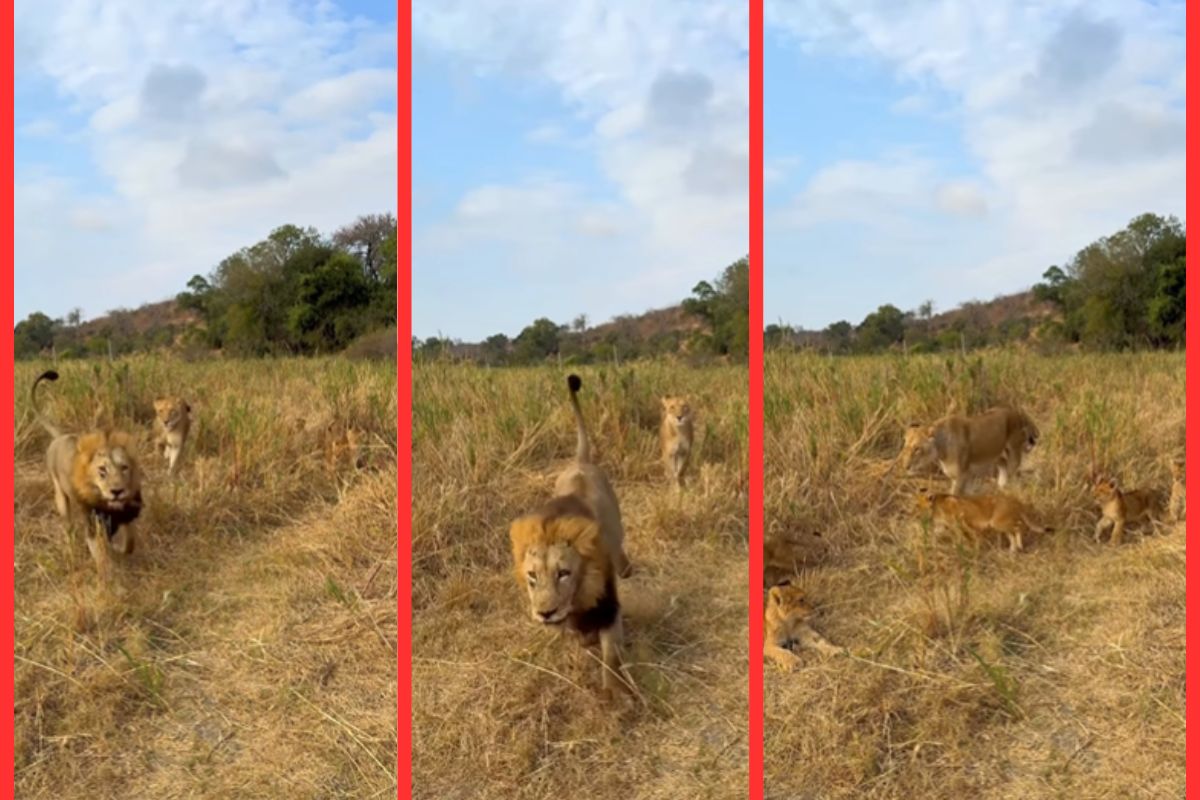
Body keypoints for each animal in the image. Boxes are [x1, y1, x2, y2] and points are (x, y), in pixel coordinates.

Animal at [33, 370, 144, 578]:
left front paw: (117, 549)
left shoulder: (125, 514)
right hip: (61, 498)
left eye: (124, 467)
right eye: (102, 471)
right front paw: (109, 577)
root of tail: (60, 437)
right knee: (68, 525)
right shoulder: (92, 524)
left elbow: (130, 542)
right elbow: (100, 556)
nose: (117, 491)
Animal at [509, 374, 632, 696]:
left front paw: (614, 694)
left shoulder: (608, 603)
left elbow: (611, 655)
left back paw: (627, 567)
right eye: (532, 576)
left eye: (564, 573)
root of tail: (580, 461)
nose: (545, 613)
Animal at [899, 406, 1039, 496]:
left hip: (1014, 451)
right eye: (905, 448)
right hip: (994, 454)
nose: (906, 466)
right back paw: (1000, 487)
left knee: (1011, 470)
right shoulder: (963, 476)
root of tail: (1016, 411)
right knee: (1003, 465)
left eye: (917, 449)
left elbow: (954, 498)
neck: (940, 451)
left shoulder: (961, 476)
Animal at [914, 486, 1048, 553]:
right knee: (1012, 532)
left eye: (918, 505)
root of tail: (1014, 500)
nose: (915, 514)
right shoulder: (942, 526)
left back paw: (1018, 546)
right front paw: (929, 546)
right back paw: (1013, 549)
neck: (934, 505)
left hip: (998, 523)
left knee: (1019, 527)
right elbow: (934, 535)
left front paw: (961, 549)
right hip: (1001, 524)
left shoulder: (957, 524)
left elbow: (961, 538)